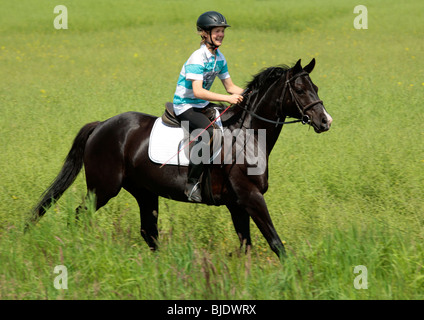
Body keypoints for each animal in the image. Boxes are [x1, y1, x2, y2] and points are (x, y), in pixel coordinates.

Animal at [28, 59, 332, 260]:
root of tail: (102, 125)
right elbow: (275, 242)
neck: (247, 136)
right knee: (79, 215)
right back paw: (76, 248)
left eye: (316, 87)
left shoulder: (237, 204)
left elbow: (246, 245)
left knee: (148, 232)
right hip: (103, 188)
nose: (325, 121)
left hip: (144, 192)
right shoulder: (250, 197)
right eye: (300, 90)